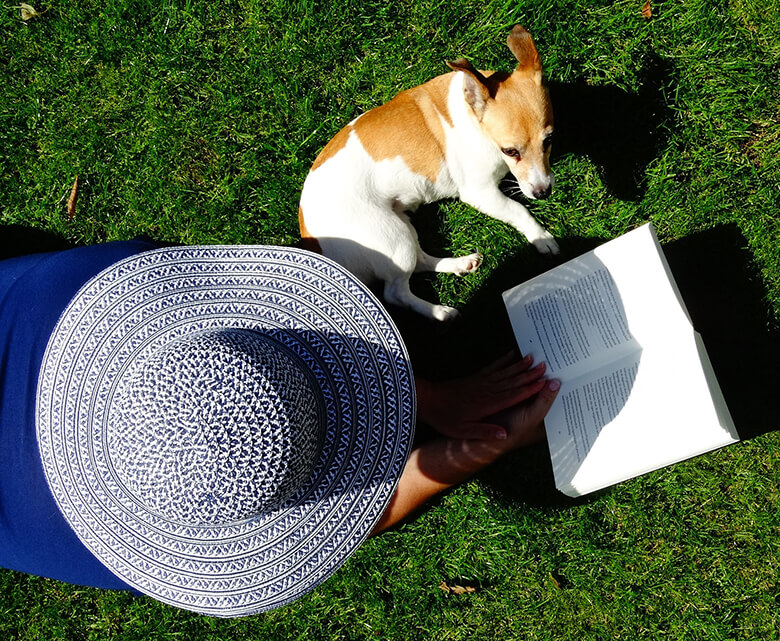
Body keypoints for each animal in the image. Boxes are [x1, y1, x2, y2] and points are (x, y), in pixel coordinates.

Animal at [296, 24, 556, 320]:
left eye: (549, 139)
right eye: (510, 151)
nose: (544, 192)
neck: (472, 116)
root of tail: (312, 239)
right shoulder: (481, 193)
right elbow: (519, 209)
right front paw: (541, 237)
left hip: (402, 227)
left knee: (419, 262)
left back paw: (460, 264)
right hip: (391, 237)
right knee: (395, 292)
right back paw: (440, 312)